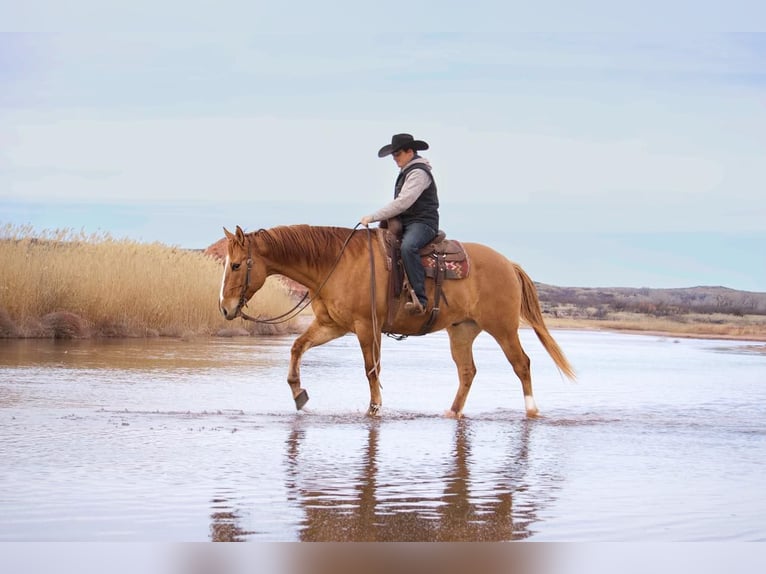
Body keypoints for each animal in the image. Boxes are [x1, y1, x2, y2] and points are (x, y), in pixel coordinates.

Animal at [218, 225, 576, 418]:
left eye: (235, 265)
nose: (224, 308)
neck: (335, 263)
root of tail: (508, 264)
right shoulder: (332, 325)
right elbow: (297, 346)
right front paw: (298, 393)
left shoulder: (366, 326)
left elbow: (371, 369)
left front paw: (374, 409)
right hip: (462, 331)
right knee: (467, 372)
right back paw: (452, 411)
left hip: (502, 328)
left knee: (522, 363)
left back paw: (531, 410)